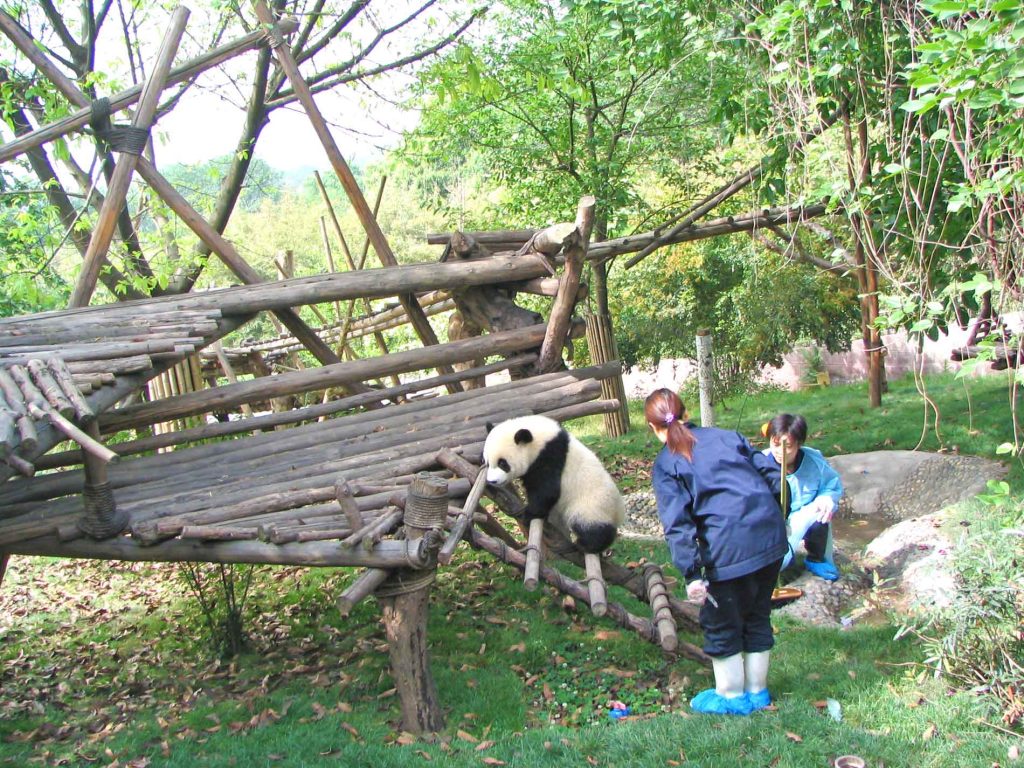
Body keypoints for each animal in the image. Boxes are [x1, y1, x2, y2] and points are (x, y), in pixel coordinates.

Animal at [479, 415, 622, 552]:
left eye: (503, 463)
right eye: (487, 462)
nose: (492, 481)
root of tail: (619, 514)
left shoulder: (550, 456)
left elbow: (547, 491)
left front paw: (529, 514)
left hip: (592, 504)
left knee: (591, 527)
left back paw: (586, 545)